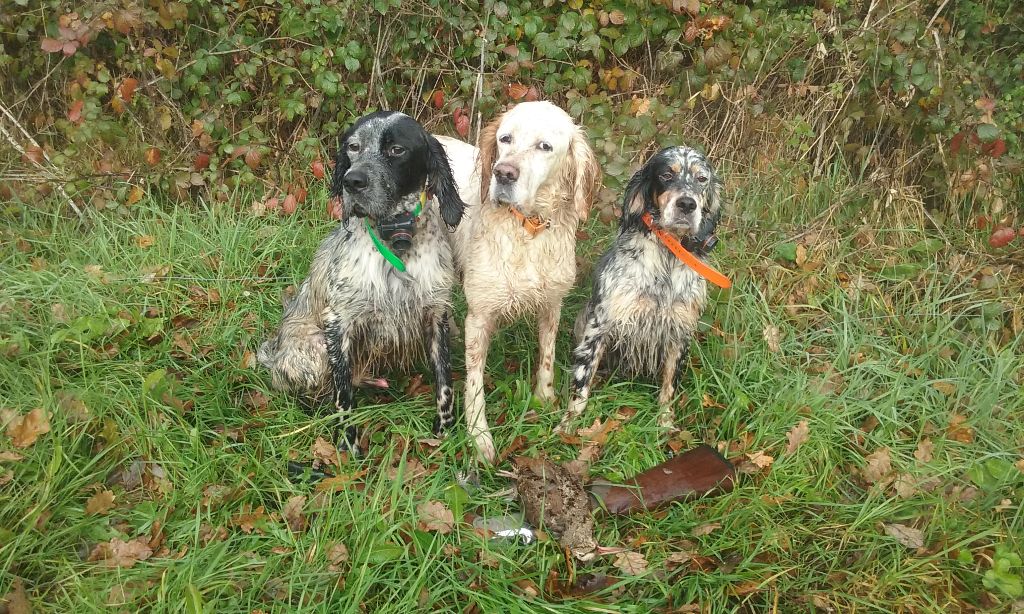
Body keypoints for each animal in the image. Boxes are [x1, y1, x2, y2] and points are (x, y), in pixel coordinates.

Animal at [258, 112, 466, 452]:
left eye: (396, 150)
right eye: (353, 147)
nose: (351, 181)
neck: (396, 238)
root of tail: (273, 354)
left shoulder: (437, 313)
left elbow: (444, 383)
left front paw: (445, 431)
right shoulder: (337, 322)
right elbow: (343, 396)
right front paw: (348, 444)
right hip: (314, 348)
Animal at [436, 103, 602, 462]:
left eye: (545, 146)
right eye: (505, 139)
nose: (503, 173)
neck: (528, 229)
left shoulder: (552, 304)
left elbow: (547, 358)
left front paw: (544, 398)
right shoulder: (480, 316)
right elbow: (474, 383)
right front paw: (479, 436)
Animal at [561, 145, 720, 431]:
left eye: (702, 179)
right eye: (667, 174)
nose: (687, 204)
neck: (667, 257)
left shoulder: (680, 331)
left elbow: (669, 387)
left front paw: (666, 425)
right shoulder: (600, 325)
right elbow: (582, 383)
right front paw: (567, 427)